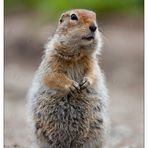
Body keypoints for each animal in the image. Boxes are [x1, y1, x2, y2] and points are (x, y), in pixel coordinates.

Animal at [27, 8, 108, 147]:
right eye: (73, 17)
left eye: (95, 16)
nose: (94, 27)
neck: (76, 54)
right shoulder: (51, 61)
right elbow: (53, 75)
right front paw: (72, 85)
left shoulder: (92, 63)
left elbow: (93, 73)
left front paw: (86, 82)